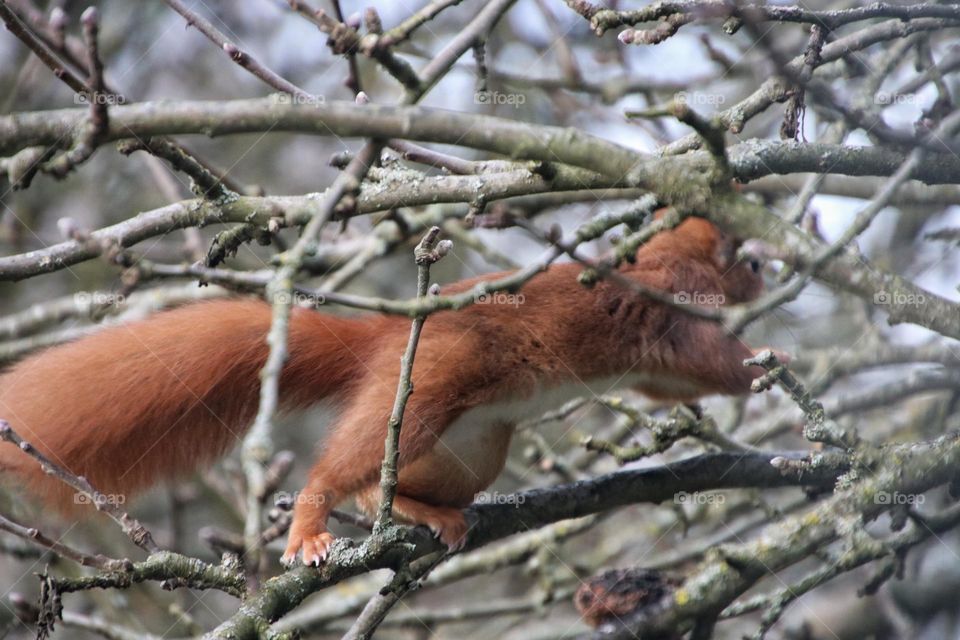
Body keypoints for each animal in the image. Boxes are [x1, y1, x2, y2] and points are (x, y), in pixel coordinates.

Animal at [0, 216, 764, 564]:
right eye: (749, 259)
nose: (772, 270)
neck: (669, 256)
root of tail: (382, 338)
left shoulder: (655, 366)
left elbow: (667, 390)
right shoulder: (675, 309)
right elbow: (715, 362)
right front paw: (764, 364)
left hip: (476, 443)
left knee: (378, 486)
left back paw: (427, 514)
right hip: (429, 390)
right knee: (343, 468)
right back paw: (310, 530)